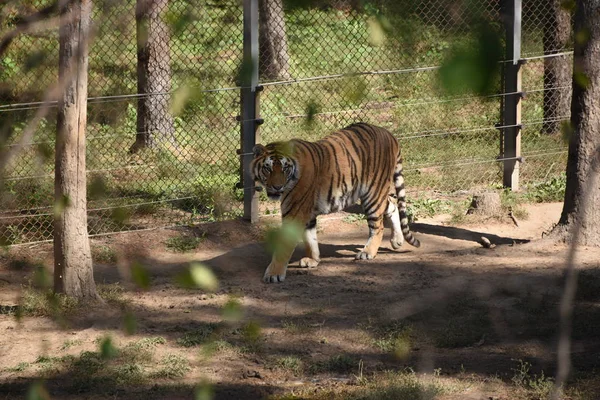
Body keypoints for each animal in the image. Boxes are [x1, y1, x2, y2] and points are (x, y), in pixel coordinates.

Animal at [251, 122, 420, 282]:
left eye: (285, 168)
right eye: (268, 168)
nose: (277, 186)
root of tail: (388, 133)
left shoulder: (295, 212)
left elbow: (284, 247)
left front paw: (273, 274)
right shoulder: (307, 213)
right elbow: (310, 238)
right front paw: (312, 259)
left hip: (373, 193)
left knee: (378, 227)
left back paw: (367, 252)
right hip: (375, 193)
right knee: (392, 205)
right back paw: (397, 240)